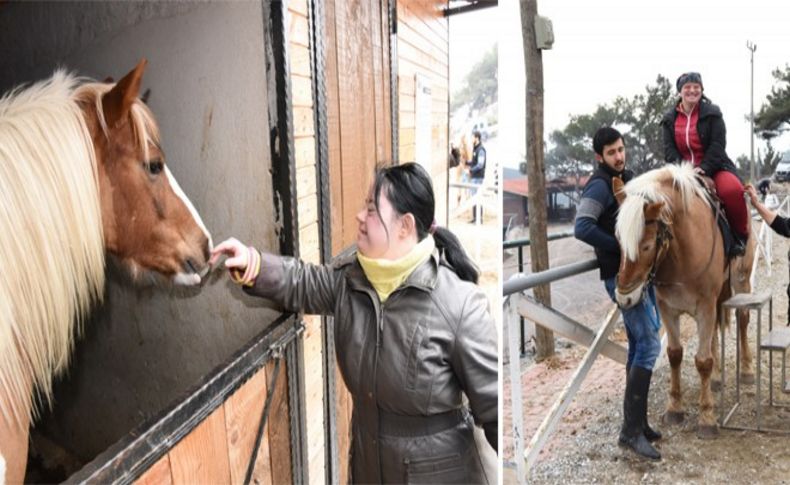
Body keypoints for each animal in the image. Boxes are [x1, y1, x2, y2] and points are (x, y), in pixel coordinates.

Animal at [616, 164, 756, 438]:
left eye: (646, 246)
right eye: (618, 240)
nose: (624, 298)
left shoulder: (704, 307)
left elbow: (702, 361)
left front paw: (707, 418)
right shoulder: (668, 309)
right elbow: (675, 354)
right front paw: (675, 408)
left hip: (741, 282)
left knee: (743, 319)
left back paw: (746, 370)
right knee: (714, 334)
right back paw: (717, 378)